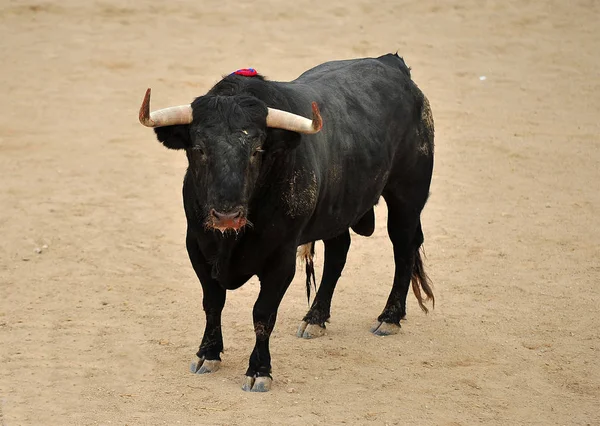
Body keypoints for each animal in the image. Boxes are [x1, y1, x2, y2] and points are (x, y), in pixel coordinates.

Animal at [139, 53, 434, 392]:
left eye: (257, 150)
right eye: (199, 149)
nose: (227, 216)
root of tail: (392, 64)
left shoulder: (281, 259)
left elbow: (263, 313)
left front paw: (259, 371)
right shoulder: (197, 247)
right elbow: (213, 302)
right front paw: (207, 354)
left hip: (407, 197)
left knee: (403, 248)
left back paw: (389, 317)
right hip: (338, 208)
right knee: (338, 252)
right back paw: (315, 318)